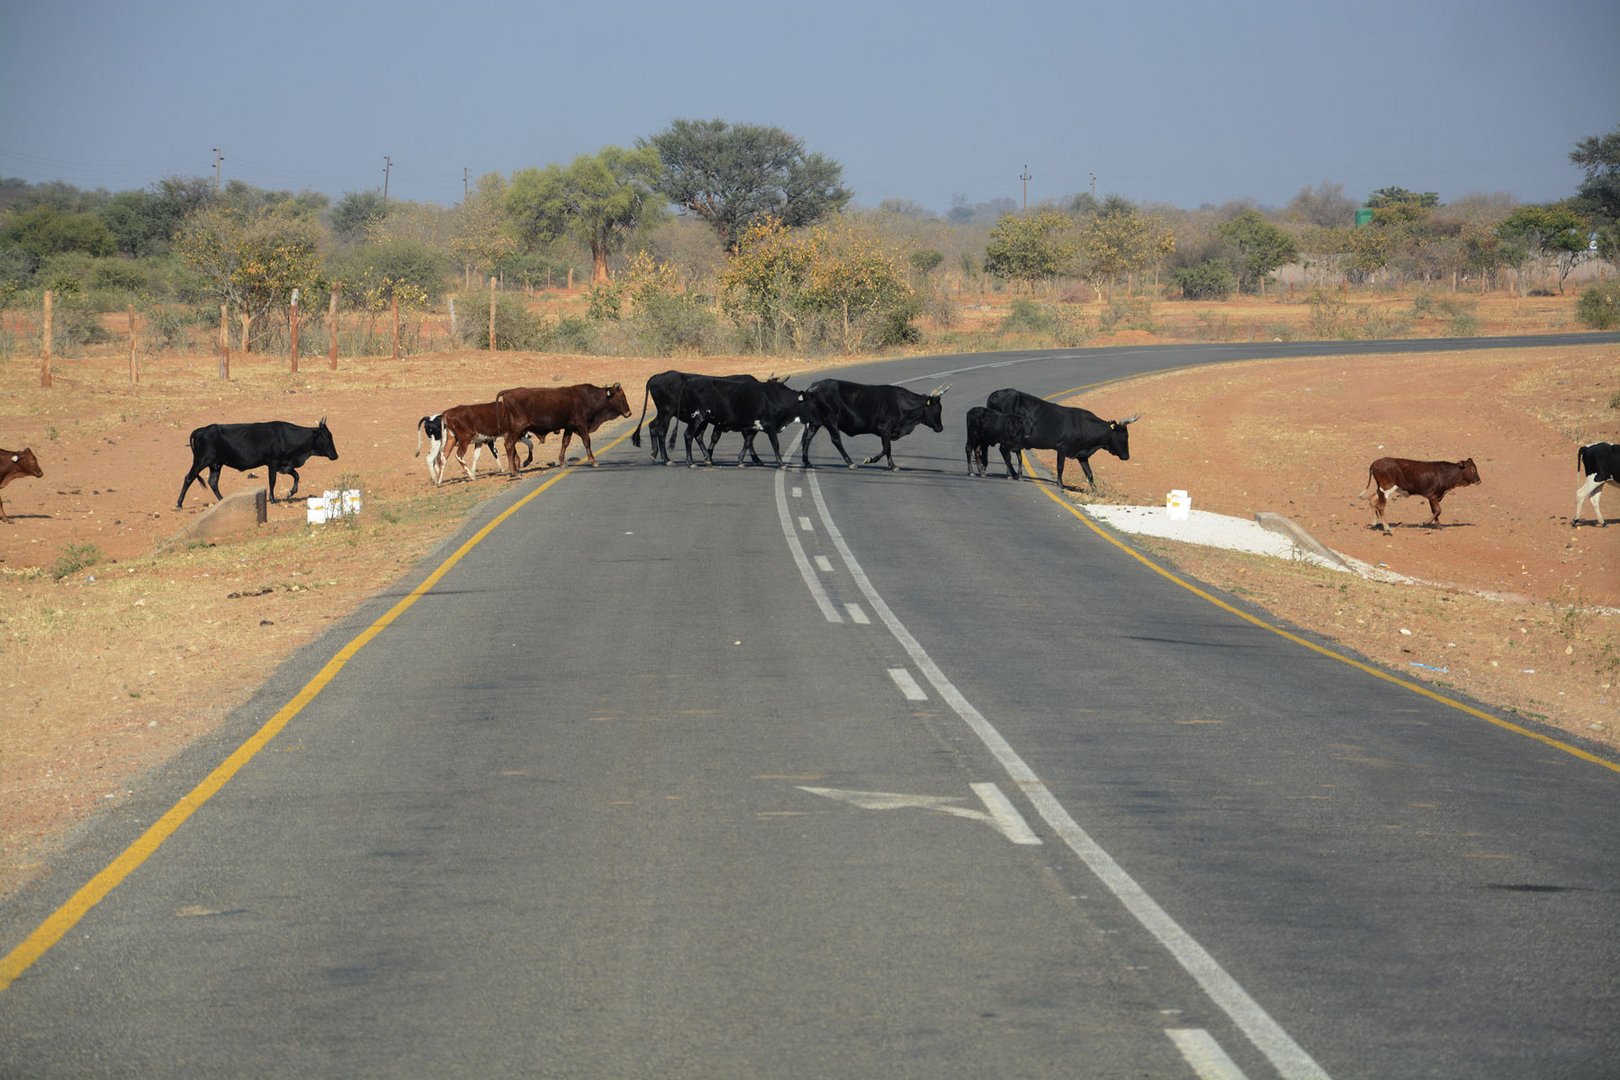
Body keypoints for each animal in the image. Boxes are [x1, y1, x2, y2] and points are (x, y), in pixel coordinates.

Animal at [177, 420, 338, 508]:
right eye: (327, 437)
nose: (335, 455)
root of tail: (202, 430)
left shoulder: (284, 464)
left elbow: (296, 476)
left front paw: (290, 493)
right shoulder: (273, 463)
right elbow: (272, 481)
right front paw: (273, 499)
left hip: (216, 465)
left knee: (213, 482)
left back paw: (222, 501)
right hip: (201, 461)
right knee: (189, 478)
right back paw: (179, 504)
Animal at [489, 386, 628, 476]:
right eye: (621, 397)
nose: (629, 412)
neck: (587, 397)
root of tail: (509, 392)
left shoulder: (569, 427)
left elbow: (565, 443)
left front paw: (562, 462)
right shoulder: (581, 424)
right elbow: (586, 441)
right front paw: (593, 461)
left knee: (510, 445)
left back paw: (516, 469)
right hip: (517, 429)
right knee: (509, 444)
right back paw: (513, 471)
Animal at [797, 380, 946, 469]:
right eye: (938, 409)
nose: (940, 428)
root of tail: (813, 387)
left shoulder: (886, 432)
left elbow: (888, 449)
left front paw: (893, 466)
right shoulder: (884, 428)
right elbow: (886, 448)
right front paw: (870, 459)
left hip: (815, 422)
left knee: (807, 439)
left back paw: (807, 462)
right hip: (830, 420)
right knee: (836, 440)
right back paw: (850, 463)